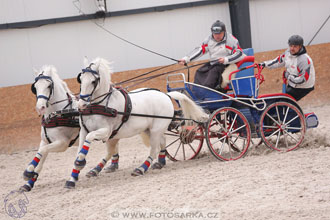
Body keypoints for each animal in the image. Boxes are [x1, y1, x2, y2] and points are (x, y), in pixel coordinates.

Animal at [65, 57, 208, 188]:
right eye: (81, 79)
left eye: (94, 81)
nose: (81, 105)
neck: (100, 105)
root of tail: (166, 96)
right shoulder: (84, 131)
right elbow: (80, 150)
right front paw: (72, 178)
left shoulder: (106, 132)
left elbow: (88, 141)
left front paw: (80, 164)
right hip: (150, 129)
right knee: (162, 142)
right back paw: (159, 163)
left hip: (155, 129)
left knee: (154, 149)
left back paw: (141, 168)